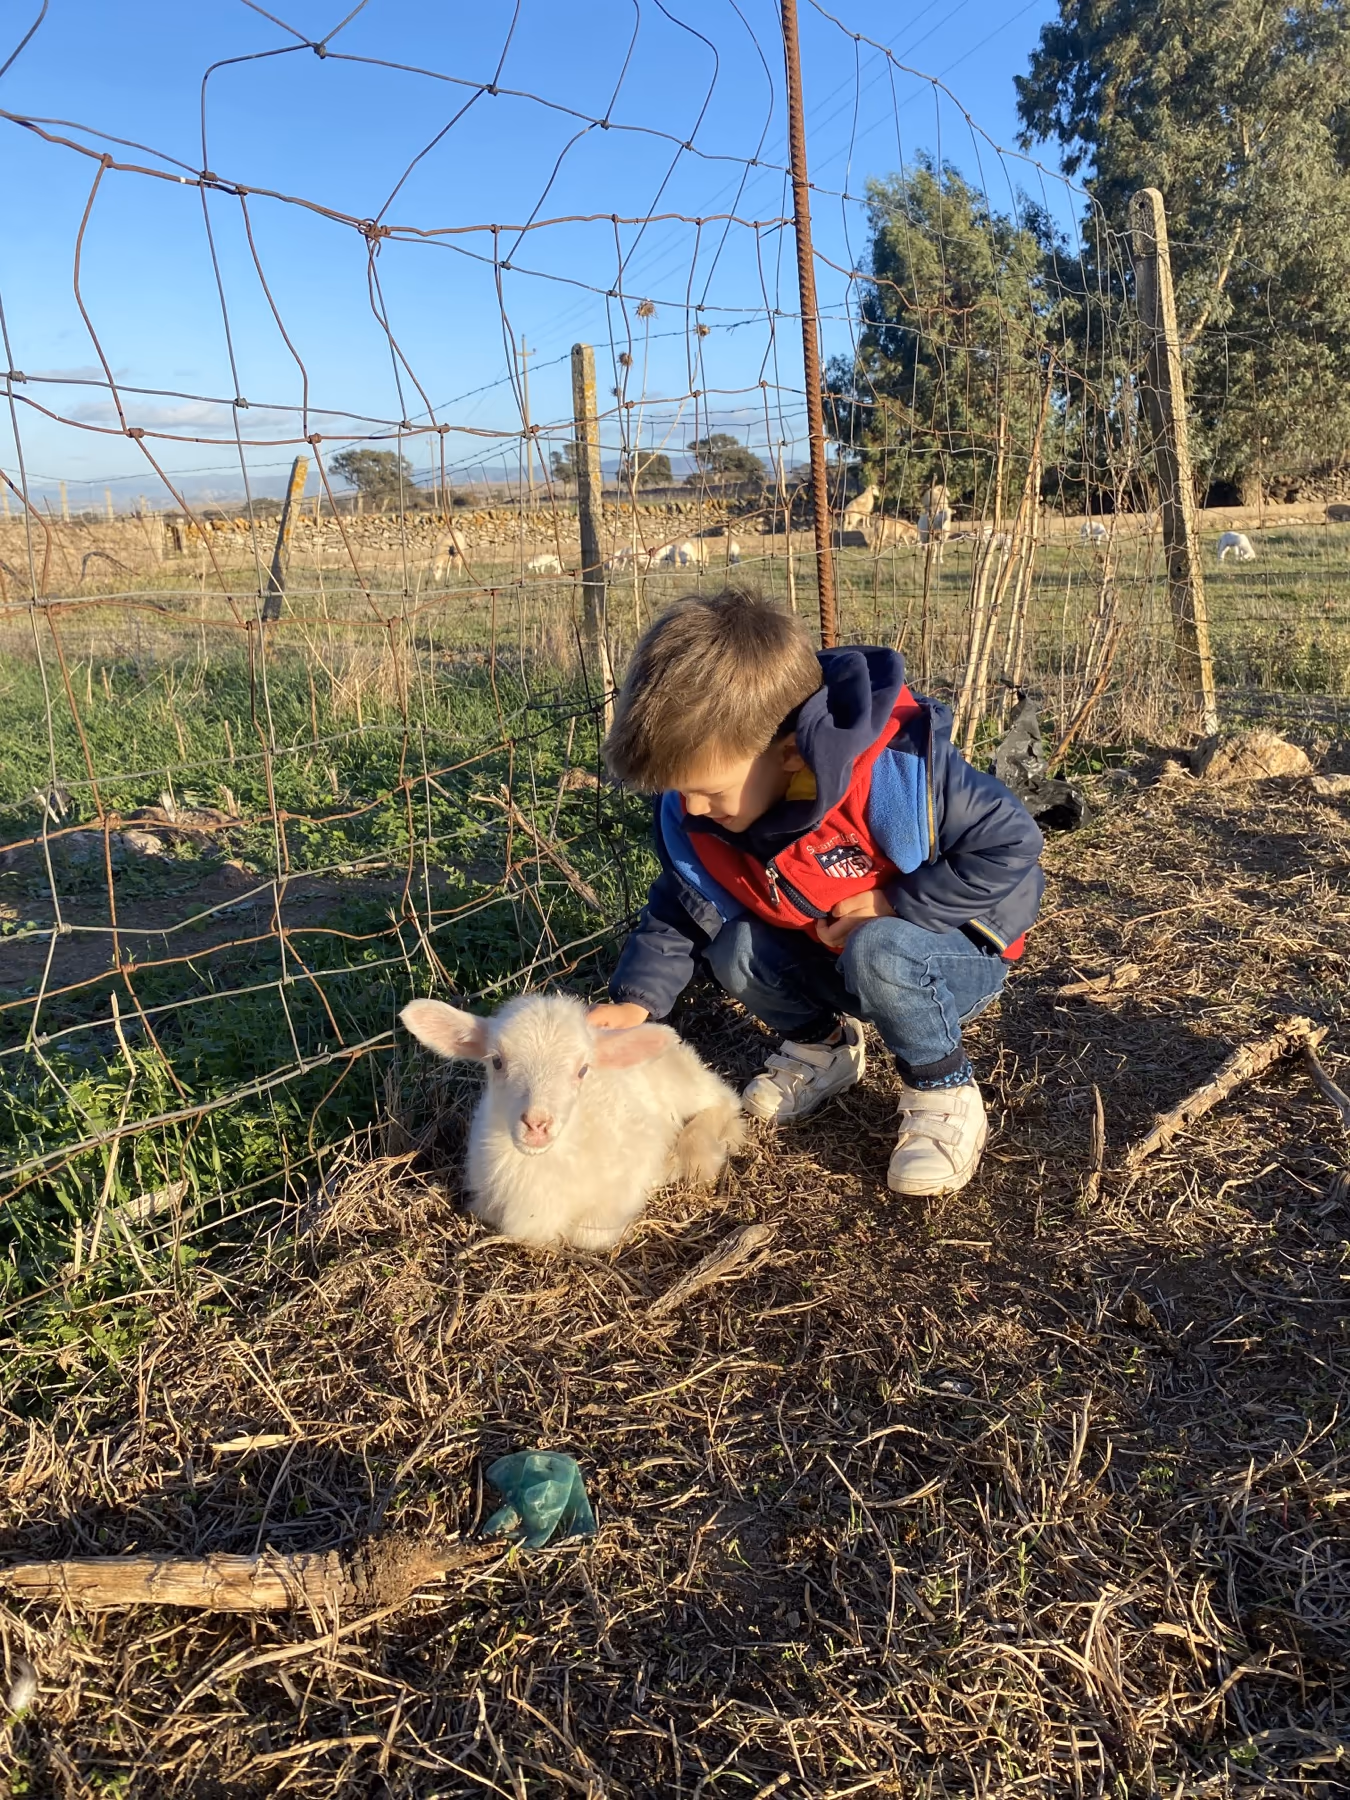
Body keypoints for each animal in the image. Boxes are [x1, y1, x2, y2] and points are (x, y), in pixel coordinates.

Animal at [401, 993, 744, 1252]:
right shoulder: (486, 1199)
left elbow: (588, 1234)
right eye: (496, 1061)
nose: (536, 1124)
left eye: (583, 1070)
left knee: (723, 1099)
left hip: (685, 1085)